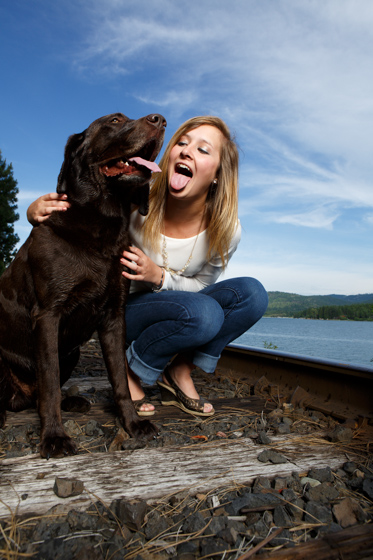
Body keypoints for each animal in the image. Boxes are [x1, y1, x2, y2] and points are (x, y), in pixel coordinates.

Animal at [0, 111, 166, 458]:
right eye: (115, 120)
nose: (160, 120)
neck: (101, 224)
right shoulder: (47, 315)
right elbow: (49, 382)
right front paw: (53, 437)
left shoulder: (114, 317)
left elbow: (120, 380)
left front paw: (132, 423)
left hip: (72, 351)